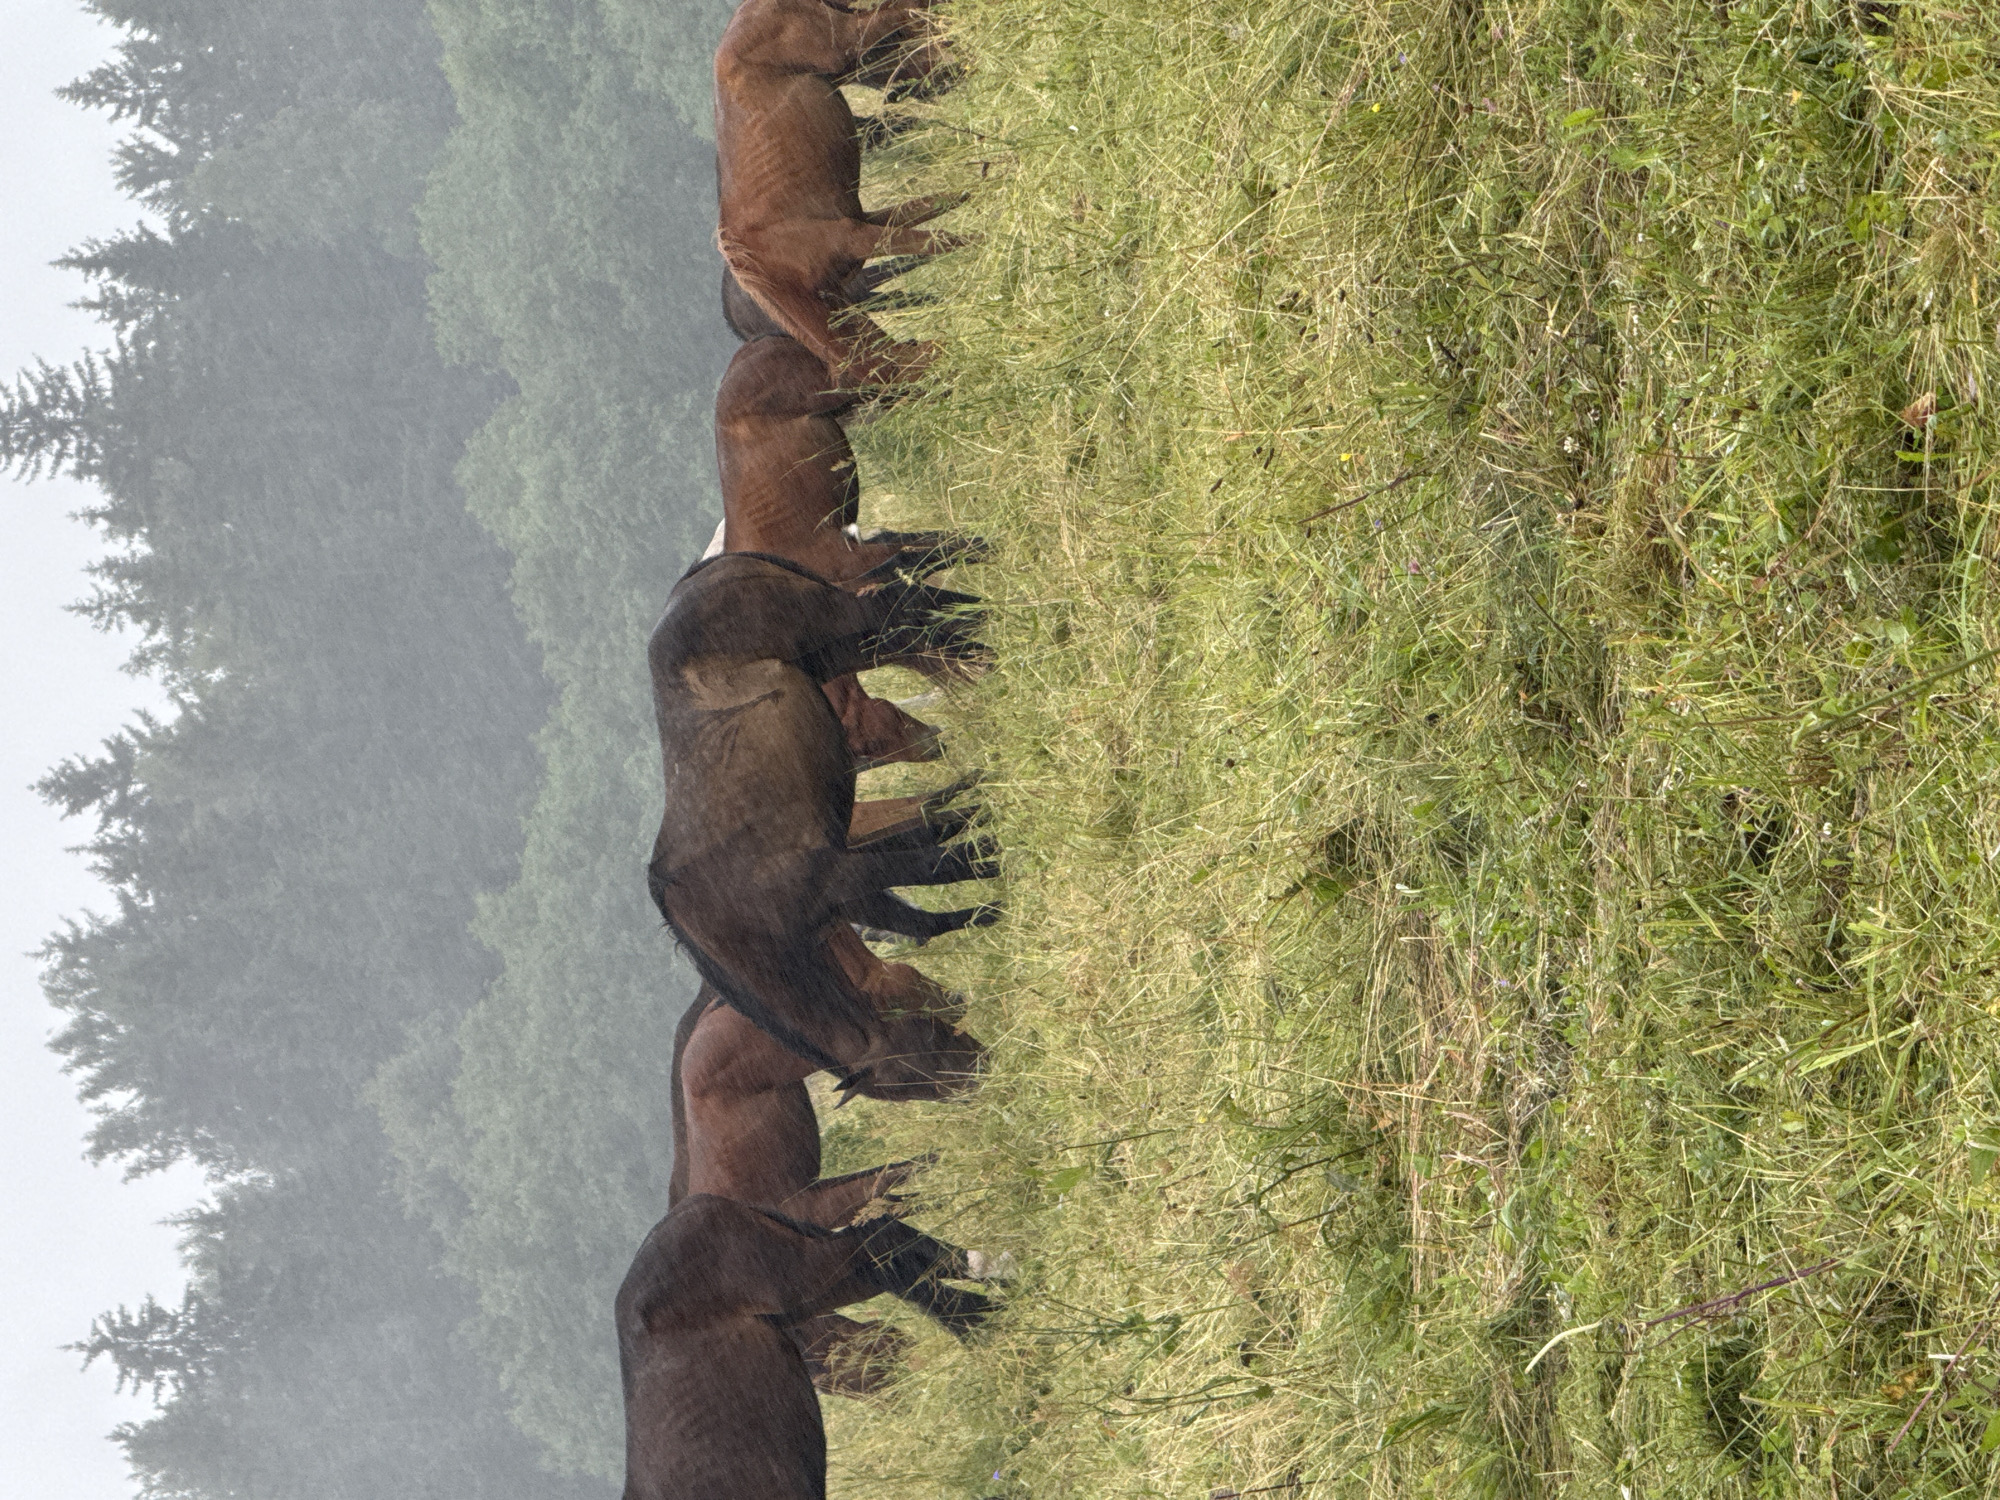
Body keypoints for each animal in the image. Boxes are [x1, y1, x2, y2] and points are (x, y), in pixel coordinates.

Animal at [647, 551, 999, 1093]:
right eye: (913, 1083)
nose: (984, 1081)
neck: (731, 922)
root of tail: (701, 577)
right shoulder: (849, 885)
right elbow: (931, 899)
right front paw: (993, 903)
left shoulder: (843, 875)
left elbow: (939, 864)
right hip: (844, 646)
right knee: (911, 613)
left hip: (839, 622)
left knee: (904, 606)